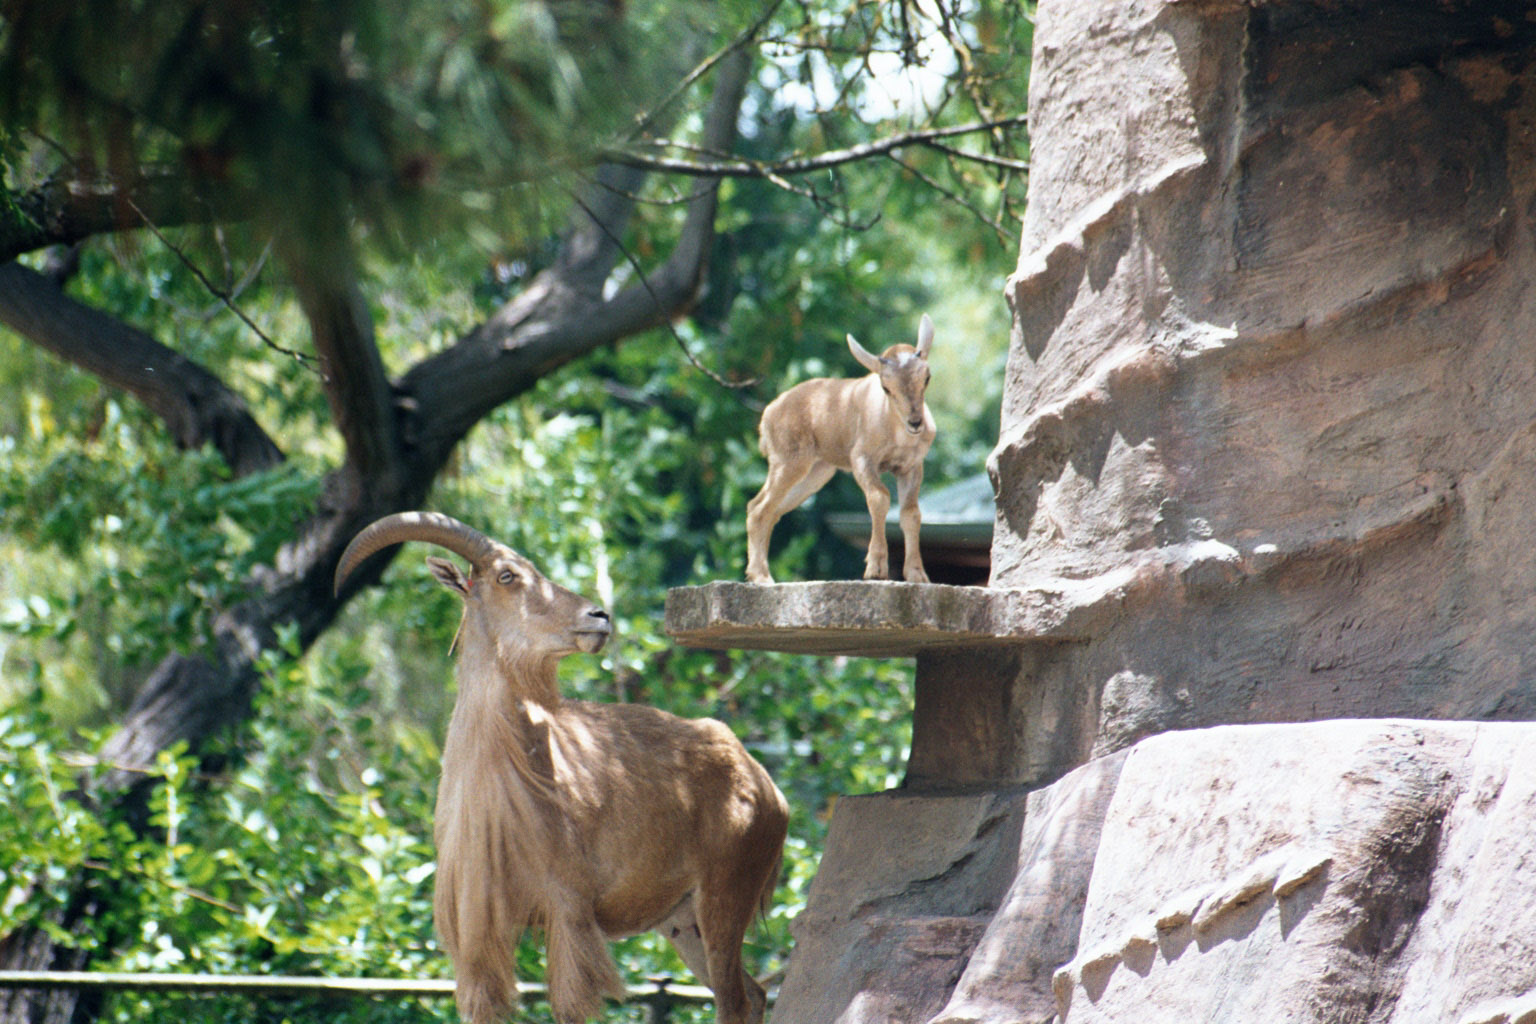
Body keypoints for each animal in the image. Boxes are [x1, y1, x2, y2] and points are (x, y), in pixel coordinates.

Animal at [334, 511, 788, 1024]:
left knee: (734, 999)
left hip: (725, 898)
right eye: (506, 576)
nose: (598, 617)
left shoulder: (568, 912)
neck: (502, 779)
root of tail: (765, 785)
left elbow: (571, 1005)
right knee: (752, 993)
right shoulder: (479, 936)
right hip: (681, 921)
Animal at [745, 313, 937, 584]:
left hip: (815, 474)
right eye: (886, 386)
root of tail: (768, 416)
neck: (893, 429)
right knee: (758, 508)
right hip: (789, 462)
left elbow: (911, 514)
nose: (915, 423)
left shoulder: (910, 466)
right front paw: (875, 568)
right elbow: (879, 497)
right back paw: (762, 577)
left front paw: (917, 575)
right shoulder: (862, 459)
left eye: (926, 377)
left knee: (770, 510)